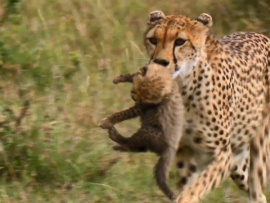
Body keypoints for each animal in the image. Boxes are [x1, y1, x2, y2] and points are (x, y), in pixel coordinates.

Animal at [144, 10, 270, 203]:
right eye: (153, 40)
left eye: (180, 41)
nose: (159, 62)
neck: (183, 88)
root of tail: (261, 35)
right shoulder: (185, 154)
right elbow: (189, 184)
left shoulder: (223, 155)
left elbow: (198, 186)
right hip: (239, 162)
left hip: (259, 145)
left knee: (256, 192)